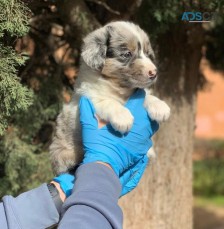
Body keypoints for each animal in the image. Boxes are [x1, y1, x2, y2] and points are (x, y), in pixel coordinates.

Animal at [50, 21, 171, 174]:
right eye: (127, 54)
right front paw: (123, 118)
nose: (153, 73)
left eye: (147, 53)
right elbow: (109, 102)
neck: (121, 89)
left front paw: (160, 107)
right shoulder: (89, 97)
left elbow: (146, 95)